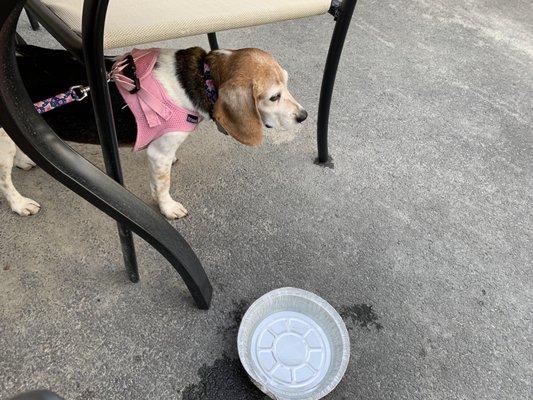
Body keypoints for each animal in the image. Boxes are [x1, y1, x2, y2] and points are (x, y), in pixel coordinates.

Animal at [1, 46, 308, 219]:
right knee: (4, 181)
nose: (303, 116)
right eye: (274, 97)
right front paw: (168, 208)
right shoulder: (159, 153)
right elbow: (163, 185)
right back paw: (19, 203)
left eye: (287, 84)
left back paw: (24, 160)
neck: (199, 75)